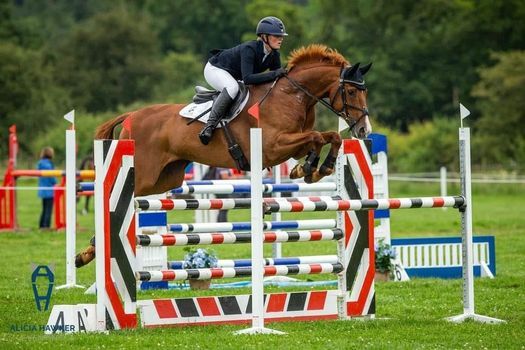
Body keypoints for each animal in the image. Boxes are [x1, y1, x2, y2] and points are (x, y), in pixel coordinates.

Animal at [74, 44, 372, 268]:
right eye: (352, 90)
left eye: (363, 90)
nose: (364, 130)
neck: (292, 96)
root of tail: (131, 115)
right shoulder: (273, 147)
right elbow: (317, 138)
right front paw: (311, 168)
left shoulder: (290, 145)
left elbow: (328, 138)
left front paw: (314, 168)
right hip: (145, 173)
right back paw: (88, 253)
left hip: (165, 178)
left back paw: (87, 254)